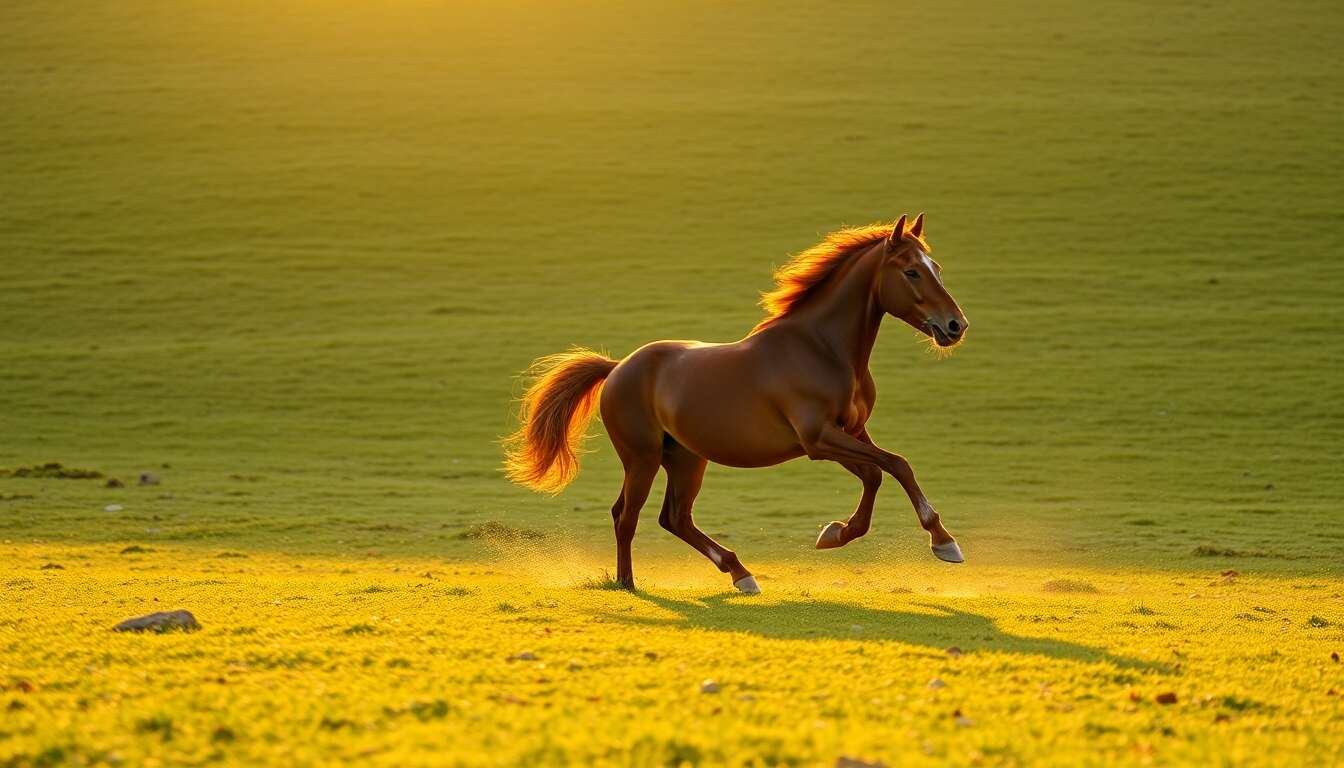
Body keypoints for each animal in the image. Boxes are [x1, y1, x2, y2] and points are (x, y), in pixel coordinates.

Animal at [503, 213, 969, 593]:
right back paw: (629, 584)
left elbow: (883, 470)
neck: (821, 348)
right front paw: (941, 542)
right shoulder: (818, 440)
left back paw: (741, 574)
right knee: (626, 516)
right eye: (911, 272)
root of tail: (618, 367)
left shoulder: (851, 432)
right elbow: (891, 466)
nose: (955, 326)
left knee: (674, 518)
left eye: (938, 269)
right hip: (643, 458)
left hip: (686, 459)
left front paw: (838, 533)